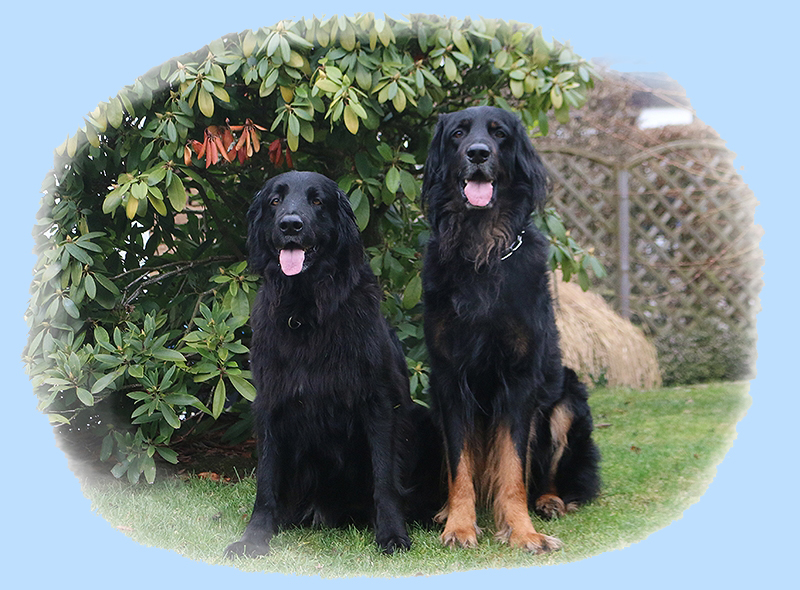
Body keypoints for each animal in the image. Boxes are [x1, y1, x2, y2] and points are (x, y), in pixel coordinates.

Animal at [224, 171, 438, 558]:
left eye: (317, 201)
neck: (305, 312)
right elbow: (266, 480)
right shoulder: (269, 404)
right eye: (275, 201)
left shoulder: (378, 403)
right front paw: (254, 537)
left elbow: (385, 477)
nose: (290, 225)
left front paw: (391, 533)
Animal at [421, 106, 600, 553]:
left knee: (551, 474)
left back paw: (550, 501)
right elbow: (460, 465)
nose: (478, 153)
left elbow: (513, 467)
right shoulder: (449, 379)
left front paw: (522, 531)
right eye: (458, 133)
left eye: (499, 133)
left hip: (568, 402)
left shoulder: (519, 381)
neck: (481, 249)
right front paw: (459, 525)